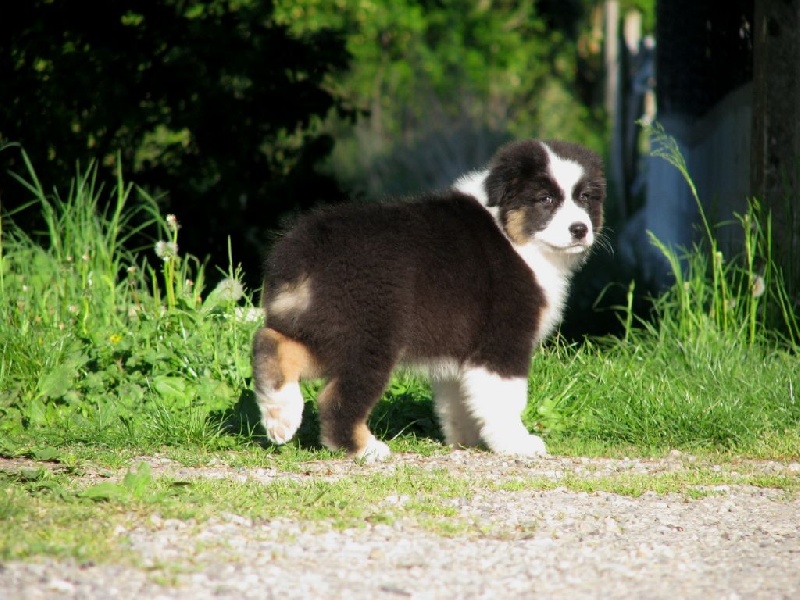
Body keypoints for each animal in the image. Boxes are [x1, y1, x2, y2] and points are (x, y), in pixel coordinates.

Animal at [252, 139, 605, 462]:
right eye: (546, 199)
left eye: (585, 198)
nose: (580, 229)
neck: (514, 235)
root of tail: (302, 248)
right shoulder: (503, 340)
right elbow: (505, 398)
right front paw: (517, 443)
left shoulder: (463, 352)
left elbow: (460, 401)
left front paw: (468, 440)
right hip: (369, 337)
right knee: (336, 399)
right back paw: (365, 448)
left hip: (325, 327)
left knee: (270, 341)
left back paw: (279, 416)